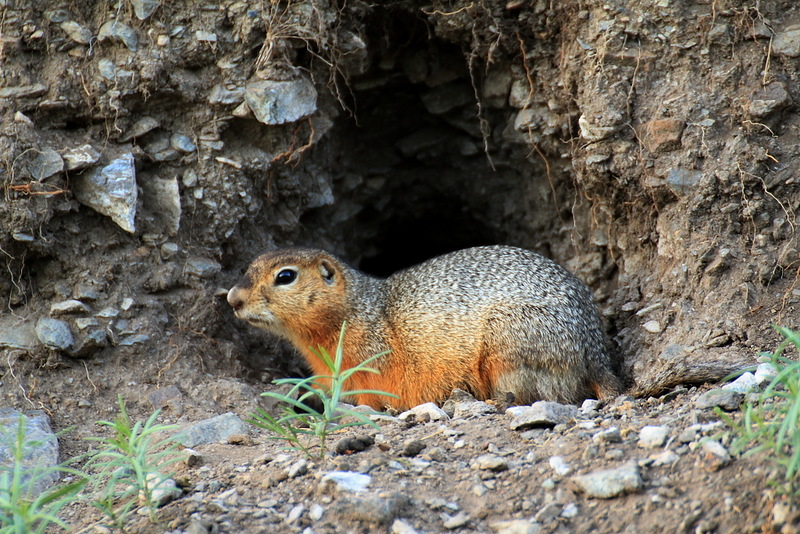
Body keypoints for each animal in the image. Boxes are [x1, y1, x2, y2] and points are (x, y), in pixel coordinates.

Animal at [228, 245, 620, 412]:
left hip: (510, 343)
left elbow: (370, 396)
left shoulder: (369, 363)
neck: (357, 308)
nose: (233, 298)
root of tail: (596, 352)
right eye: (250, 265)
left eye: (285, 276)